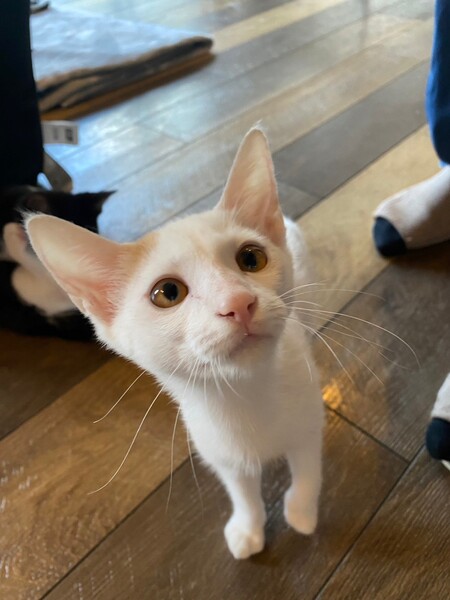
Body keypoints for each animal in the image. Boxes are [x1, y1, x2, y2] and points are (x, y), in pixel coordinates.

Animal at [26, 128, 324, 559]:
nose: (238, 302)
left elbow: (307, 470)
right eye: (167, 293)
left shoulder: (309, 425)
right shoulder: (220, 452)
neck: (246, 396)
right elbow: (242, 491)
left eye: (251, 258)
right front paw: (248, 527)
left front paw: (301, 512)